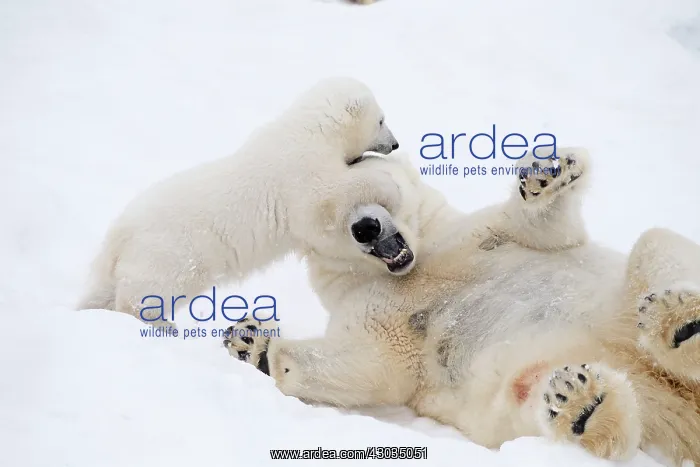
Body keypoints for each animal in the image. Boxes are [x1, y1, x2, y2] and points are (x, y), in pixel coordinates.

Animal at [77, 76, 409, 327]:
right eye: (381, 120)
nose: (394, 144)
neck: (309, 129)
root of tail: (120, 230)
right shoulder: (298, 169)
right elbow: (322, 201)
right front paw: (389, 185)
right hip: (170, 252)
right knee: (149, 290)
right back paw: (157, 321)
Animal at [224, 149, 700, 466]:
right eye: (331, 219)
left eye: (369, 188)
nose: (366, 227)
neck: (420, 262)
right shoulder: (376, 311)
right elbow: (371, 364)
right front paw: (251, 343)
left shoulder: (478, 234)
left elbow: (547, 231)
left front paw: (546, 172)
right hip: (527, 387)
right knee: (529, 393)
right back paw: (584, 405)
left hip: (620, 309)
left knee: (655, 245)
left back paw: (677, 320)